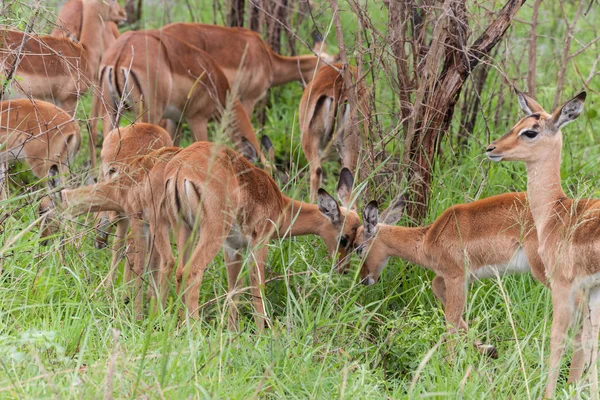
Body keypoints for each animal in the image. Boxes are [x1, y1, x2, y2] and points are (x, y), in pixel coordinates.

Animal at [164, 142, 358, 330]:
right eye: (344, 238)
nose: (344, 268)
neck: (280, 205)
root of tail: (182, 167)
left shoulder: (232, 248)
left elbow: (235, 288)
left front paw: (232, 332)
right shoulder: (259, 244)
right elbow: (258, 286)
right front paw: (263, 332)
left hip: (184, 229)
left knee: (180, 272)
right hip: (212, 232)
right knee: (192, 271)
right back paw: (195, 329)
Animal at [486, 91, 596, 400]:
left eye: (530, 132)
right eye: (516, 123)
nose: (491, 148)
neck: (555, 213)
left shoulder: (563, 285)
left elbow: (558, 338)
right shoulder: (589, 290)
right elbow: (588, 339)